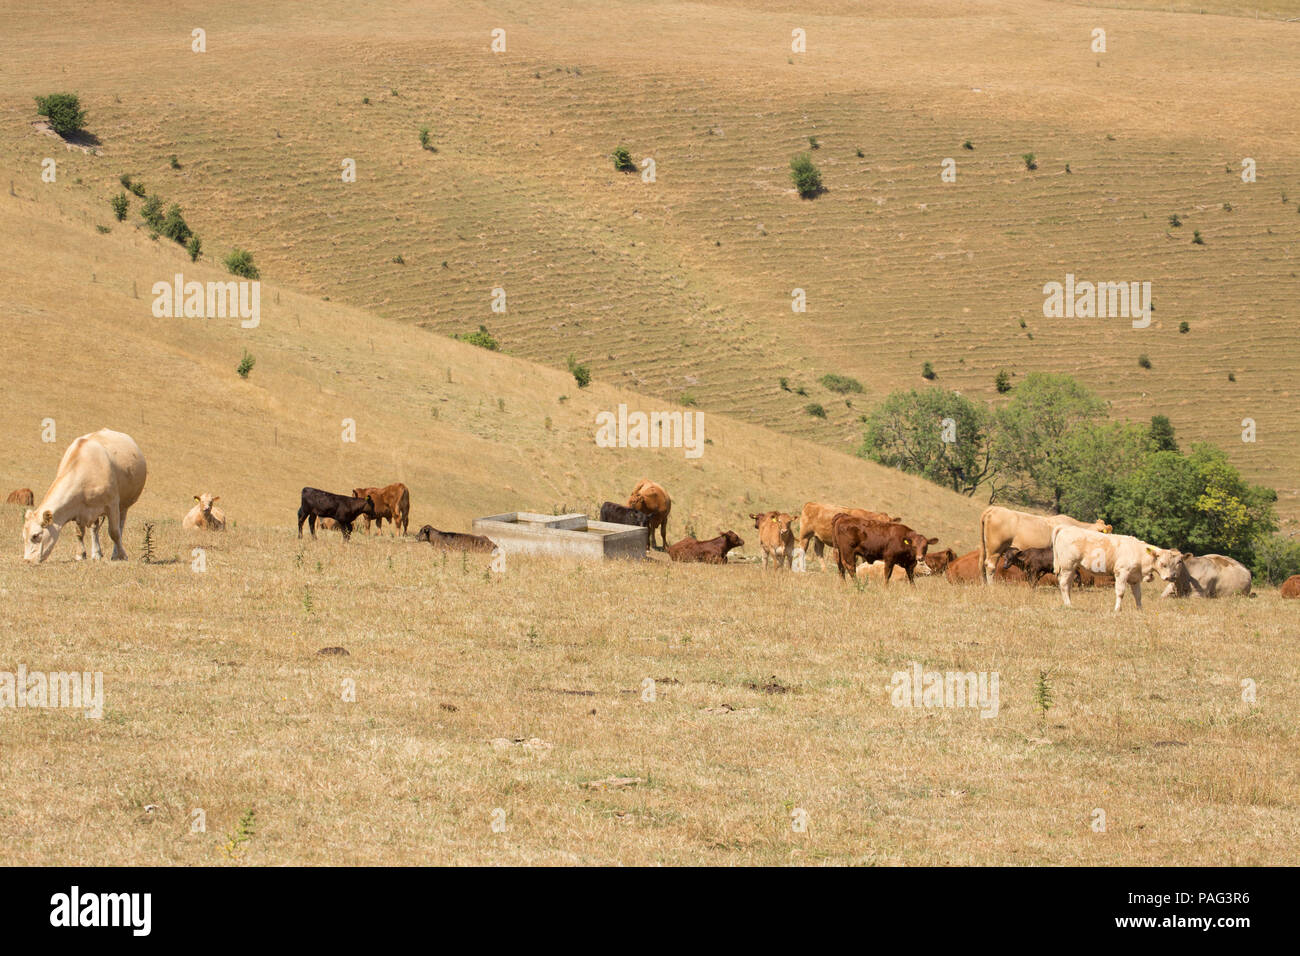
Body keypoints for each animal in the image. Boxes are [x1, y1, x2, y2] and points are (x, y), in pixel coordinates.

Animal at [22, 431, 148, 564]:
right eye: (24, 536)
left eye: (35, 535)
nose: (27, 561)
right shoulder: (78, 510)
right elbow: (79, 533)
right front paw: (80, 554)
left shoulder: (112, 504)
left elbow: (114, 532)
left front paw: (122, 555)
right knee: (94, 529)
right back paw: (96, 553)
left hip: (124, 506)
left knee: (120, 527)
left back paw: (115, 553)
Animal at [977, 504, 1112, 587]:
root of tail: (993, 509)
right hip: (995, 549)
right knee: (990, 565)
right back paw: (991, 586)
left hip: (985, 548)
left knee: (982, 565)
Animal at [1050, 522, 1185, 613]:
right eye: (1163, 563)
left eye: (1177, 563)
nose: (1170, 577)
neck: (1138, 552)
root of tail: (1066, 527)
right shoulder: (1122, 573)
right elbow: (1120, 592)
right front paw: (1117, 609)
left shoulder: (1135, 578)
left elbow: (1138, 595)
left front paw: (1140, 610)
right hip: (1068, 565)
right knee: (1063, 583)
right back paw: (1068, 604)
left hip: (1072, 568)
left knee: (1068, 585)